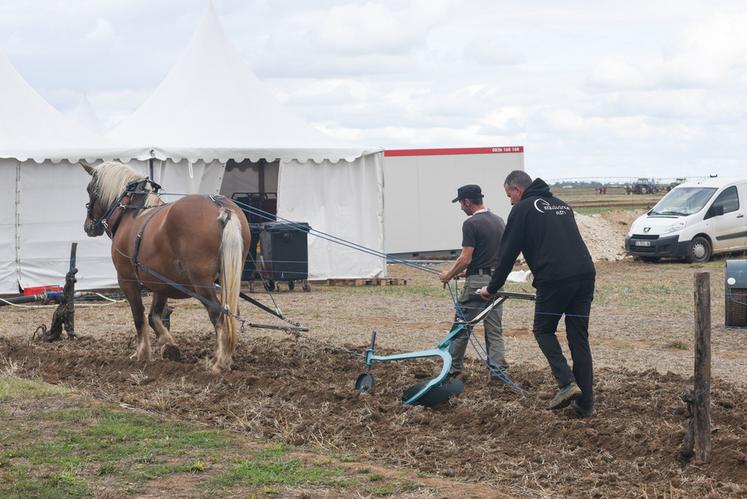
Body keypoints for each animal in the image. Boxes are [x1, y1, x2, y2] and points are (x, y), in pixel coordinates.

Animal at [81, 162, 251, 374]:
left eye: (90, 189)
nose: (88, 226)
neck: (130, 213)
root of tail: (221, 208)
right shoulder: (160, 283)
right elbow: (153, 316)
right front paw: (169, 345)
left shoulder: (127, 280)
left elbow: (139, 317)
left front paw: (142, 354)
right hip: (230, 276)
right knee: (229, 315)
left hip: (202, 284)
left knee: (218, 315)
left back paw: (220, 362)